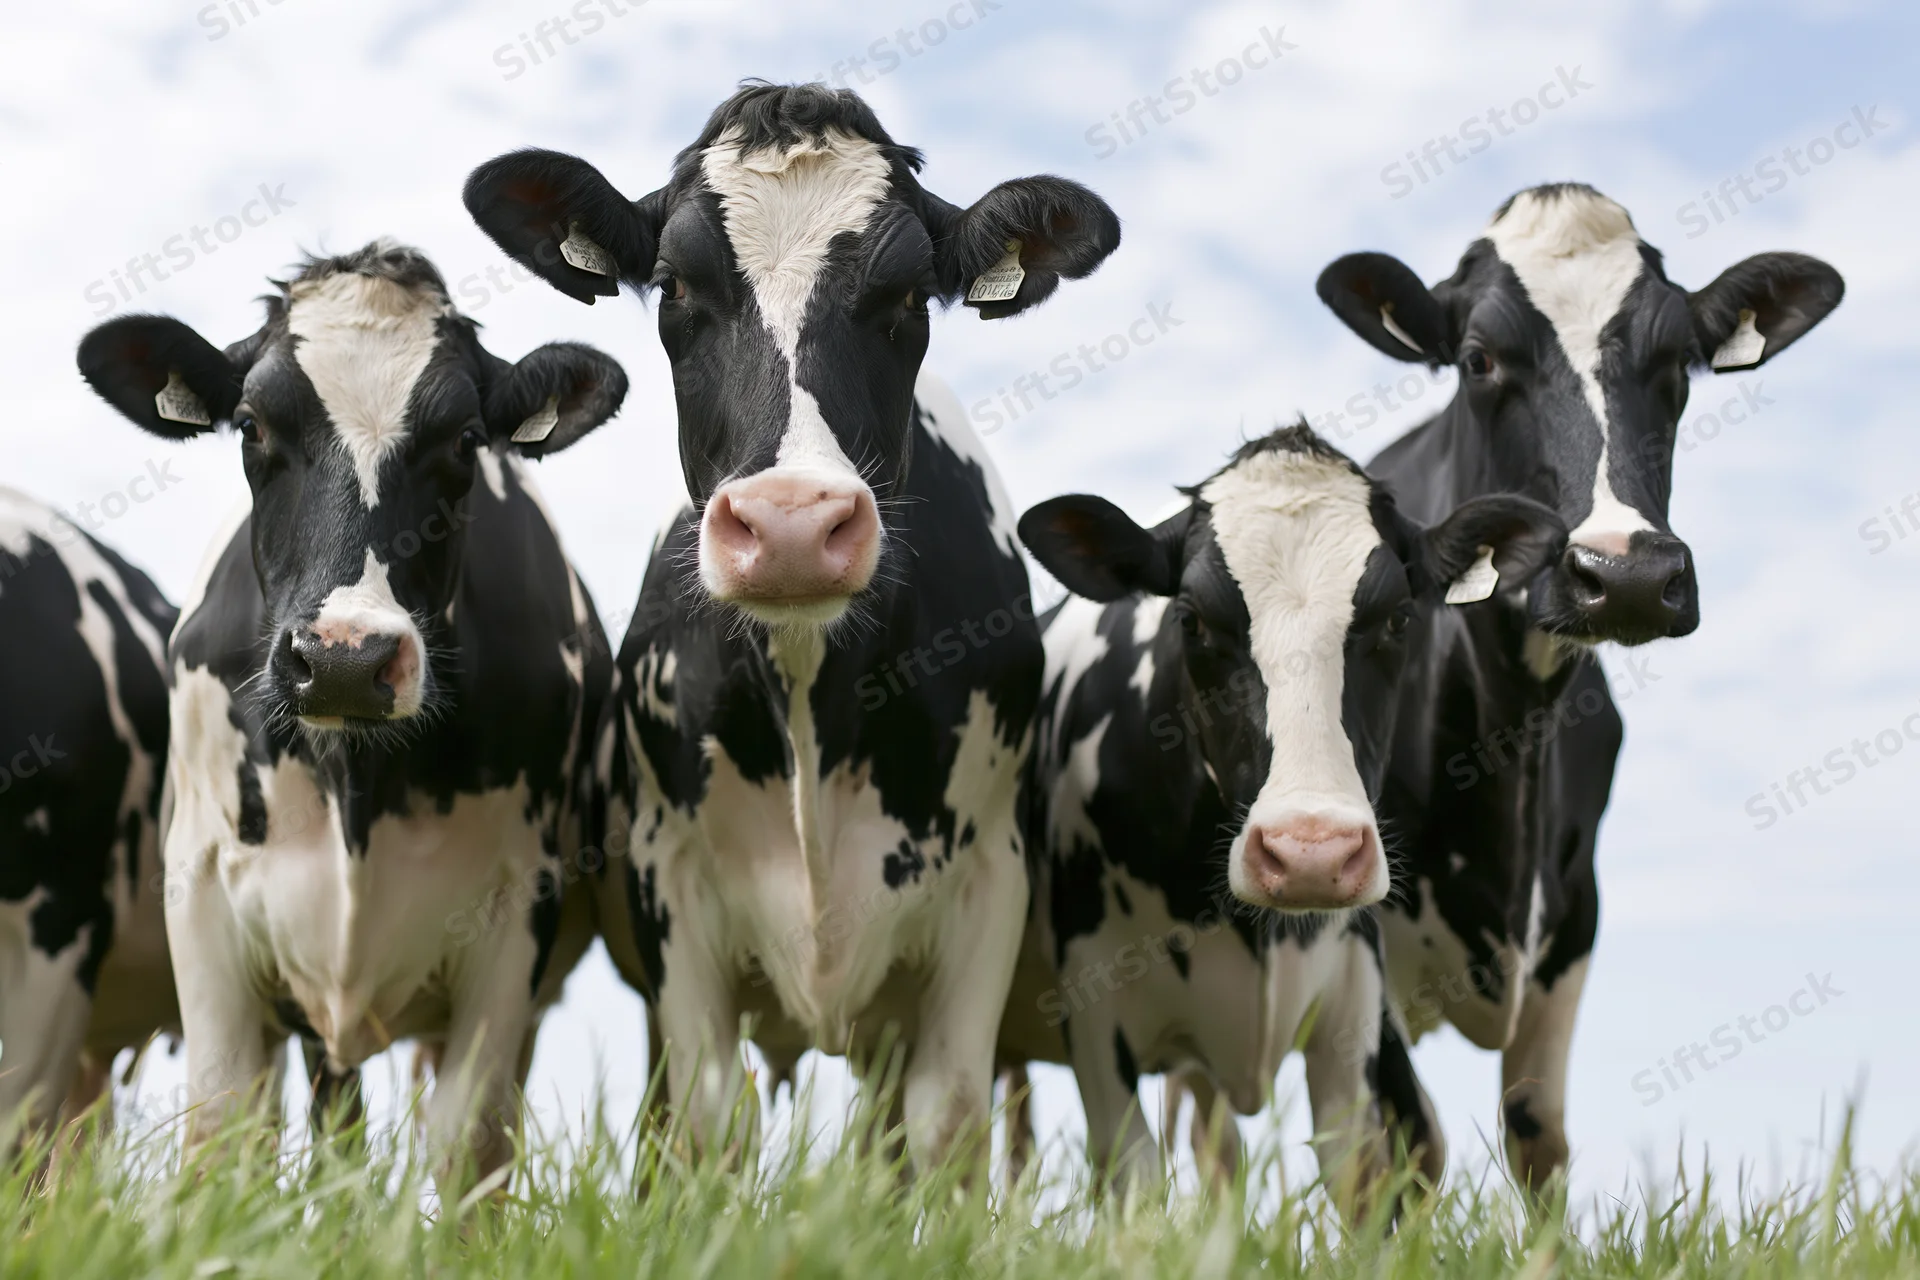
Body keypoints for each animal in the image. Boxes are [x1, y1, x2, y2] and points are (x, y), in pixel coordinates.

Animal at [75, 240, 624, 1190]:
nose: (343, 659)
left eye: (466, 440)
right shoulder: (203, 890)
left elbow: (468, 1144)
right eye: (251, 425)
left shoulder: (518, 909)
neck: (356, 777)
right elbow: (221, 1133)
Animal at [463, 81, 1120, 1173]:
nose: (792, 525)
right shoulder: (671, 886)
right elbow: (706, 1119)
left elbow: (944, 1124)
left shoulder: (988, 884)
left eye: (909, 297)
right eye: (675, 287)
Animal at [1006, 425, 1564, 1205]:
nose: (1311, 853)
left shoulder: (1351, 1016)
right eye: (1191, 620)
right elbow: (1135, 1184)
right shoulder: (1094, 1021)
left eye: (1399, 619)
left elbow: (1361, 1181)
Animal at [1312, 182, 1843, 1187]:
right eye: (1477, 359)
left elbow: (1537, 1135)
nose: (1626, 572)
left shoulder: (1576, 913)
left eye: (1680, 362)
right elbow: (1406, 1139)